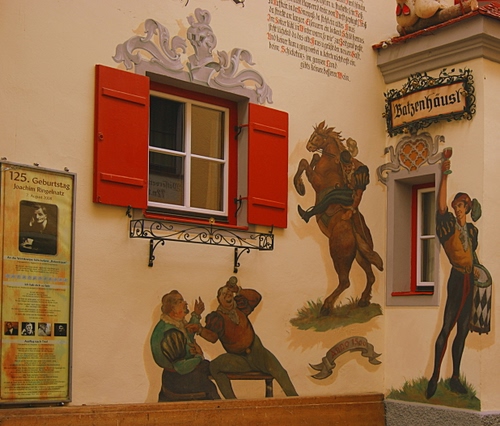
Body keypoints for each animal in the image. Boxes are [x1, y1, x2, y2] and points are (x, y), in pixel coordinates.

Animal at [293, 121, 383, 316]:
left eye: (316, 136)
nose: (309, 146)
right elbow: (310, 160)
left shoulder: (316, 181)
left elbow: (304, 163)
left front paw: (299, 186)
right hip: (359, 255)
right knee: (370, 276)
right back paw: (363, 300)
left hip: (339, 253)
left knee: (345, 281)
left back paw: (326, 306)